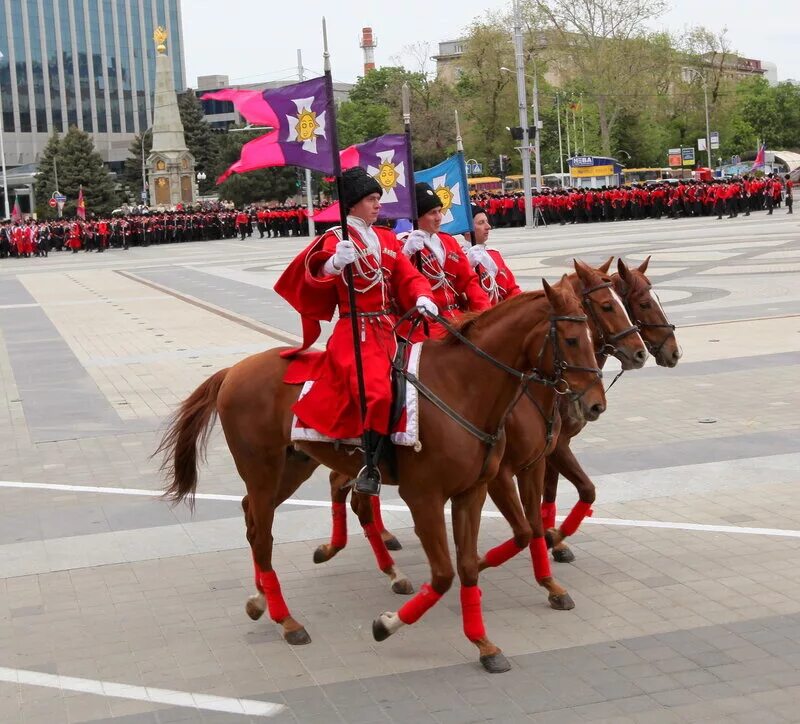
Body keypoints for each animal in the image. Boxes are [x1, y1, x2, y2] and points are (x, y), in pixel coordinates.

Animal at [158, 278, 608, 672]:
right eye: (572, 339)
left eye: (591, 334)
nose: (594, 403)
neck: (462, 388)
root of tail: (234, 370)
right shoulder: (426, 497)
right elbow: (444, 573)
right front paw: (387, 624)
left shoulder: (474, 491)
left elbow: (470, 565)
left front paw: (484, 643)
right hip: (263, 469)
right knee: (265, 533)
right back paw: (288, 620)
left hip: (292, 468)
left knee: (254, 517)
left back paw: (261, 600)